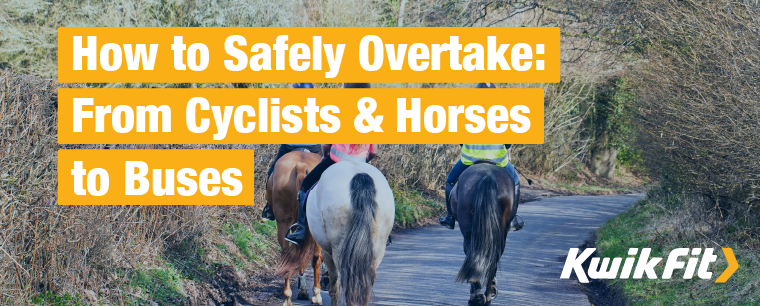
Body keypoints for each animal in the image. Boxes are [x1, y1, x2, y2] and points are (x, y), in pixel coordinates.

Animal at [268, 150, 324, 306]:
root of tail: (301, 164)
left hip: (284, 222)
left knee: (287, 254)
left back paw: (287, 297)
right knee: (315, 257)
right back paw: (316, 295)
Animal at [308, 161, 394, 304]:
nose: (324, 282)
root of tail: (360, 176)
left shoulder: (327, 252)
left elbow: (334, 288)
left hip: (339, 248)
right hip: (378, 248)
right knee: (367, 282)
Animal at [452, 161, 516, 304]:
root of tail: (488, 175)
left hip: (468, 231)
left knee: (472, 254)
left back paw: (478, 296)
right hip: (501, 233)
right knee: (493, 258)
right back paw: (486, 295)